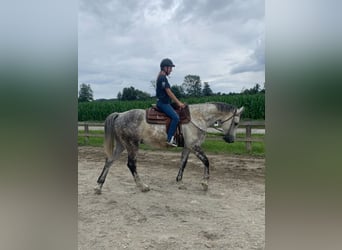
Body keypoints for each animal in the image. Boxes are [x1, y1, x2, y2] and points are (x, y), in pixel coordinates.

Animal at [93, 101, 243, 193]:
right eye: (236, 123)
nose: (230, 140)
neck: (198, 117)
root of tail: (120, 115)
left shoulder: (187, 147)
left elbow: (183, 163)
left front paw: (180, 182)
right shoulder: (194, 146)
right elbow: (206, 161)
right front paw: (205, 184)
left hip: (121, 145)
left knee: (109, 161)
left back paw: (99, 186)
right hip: (132, 145)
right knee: (131, 164)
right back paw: (142, 186)